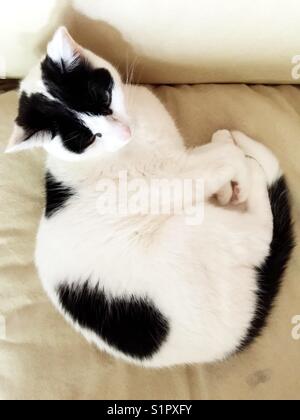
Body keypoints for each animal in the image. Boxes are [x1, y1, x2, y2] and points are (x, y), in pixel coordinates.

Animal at [5, 27, 296, 368]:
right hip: (198, 235)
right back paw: (251, 167)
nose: (122, 133)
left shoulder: (179, 155)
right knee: (261, 233)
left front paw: (227, 185)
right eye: (88, 138)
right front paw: (236, 166)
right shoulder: (170, 177)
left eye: (104, 99)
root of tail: (234, 340)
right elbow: (222, 158)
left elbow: (213, 159)